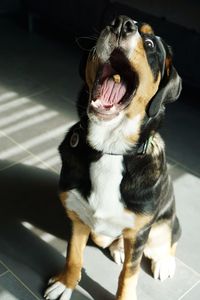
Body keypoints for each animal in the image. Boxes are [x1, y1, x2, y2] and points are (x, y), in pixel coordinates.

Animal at [43, 14, 181, 300]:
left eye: (150, 44)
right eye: (109, 23)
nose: (121, 23)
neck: (110, 148)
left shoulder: (140, 232)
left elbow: (129, 273)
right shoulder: (79, 217)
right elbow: (73, 255)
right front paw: (66, 282)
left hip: (163, 223)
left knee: (170, 238)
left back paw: (164, 261)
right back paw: (118, 248)